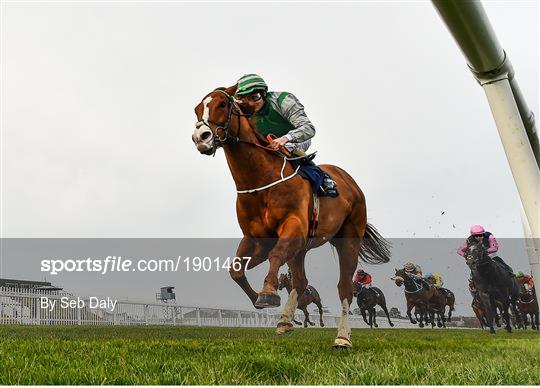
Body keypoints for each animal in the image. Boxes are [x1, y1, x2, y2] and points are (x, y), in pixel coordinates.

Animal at [192, 86, 390, 348]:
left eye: (223, 104)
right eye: (196, 109)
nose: (201, 137)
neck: (261, 181)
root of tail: (350, 182)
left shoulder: (292, 228)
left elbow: (274, 256)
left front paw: (268, 293)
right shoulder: (256, 239)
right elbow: (236, 270)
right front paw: (259, 298)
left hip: (348, 240)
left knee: (345, 287)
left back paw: (342, 337)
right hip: (301, 249)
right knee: (300, 281)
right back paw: (285, 321)